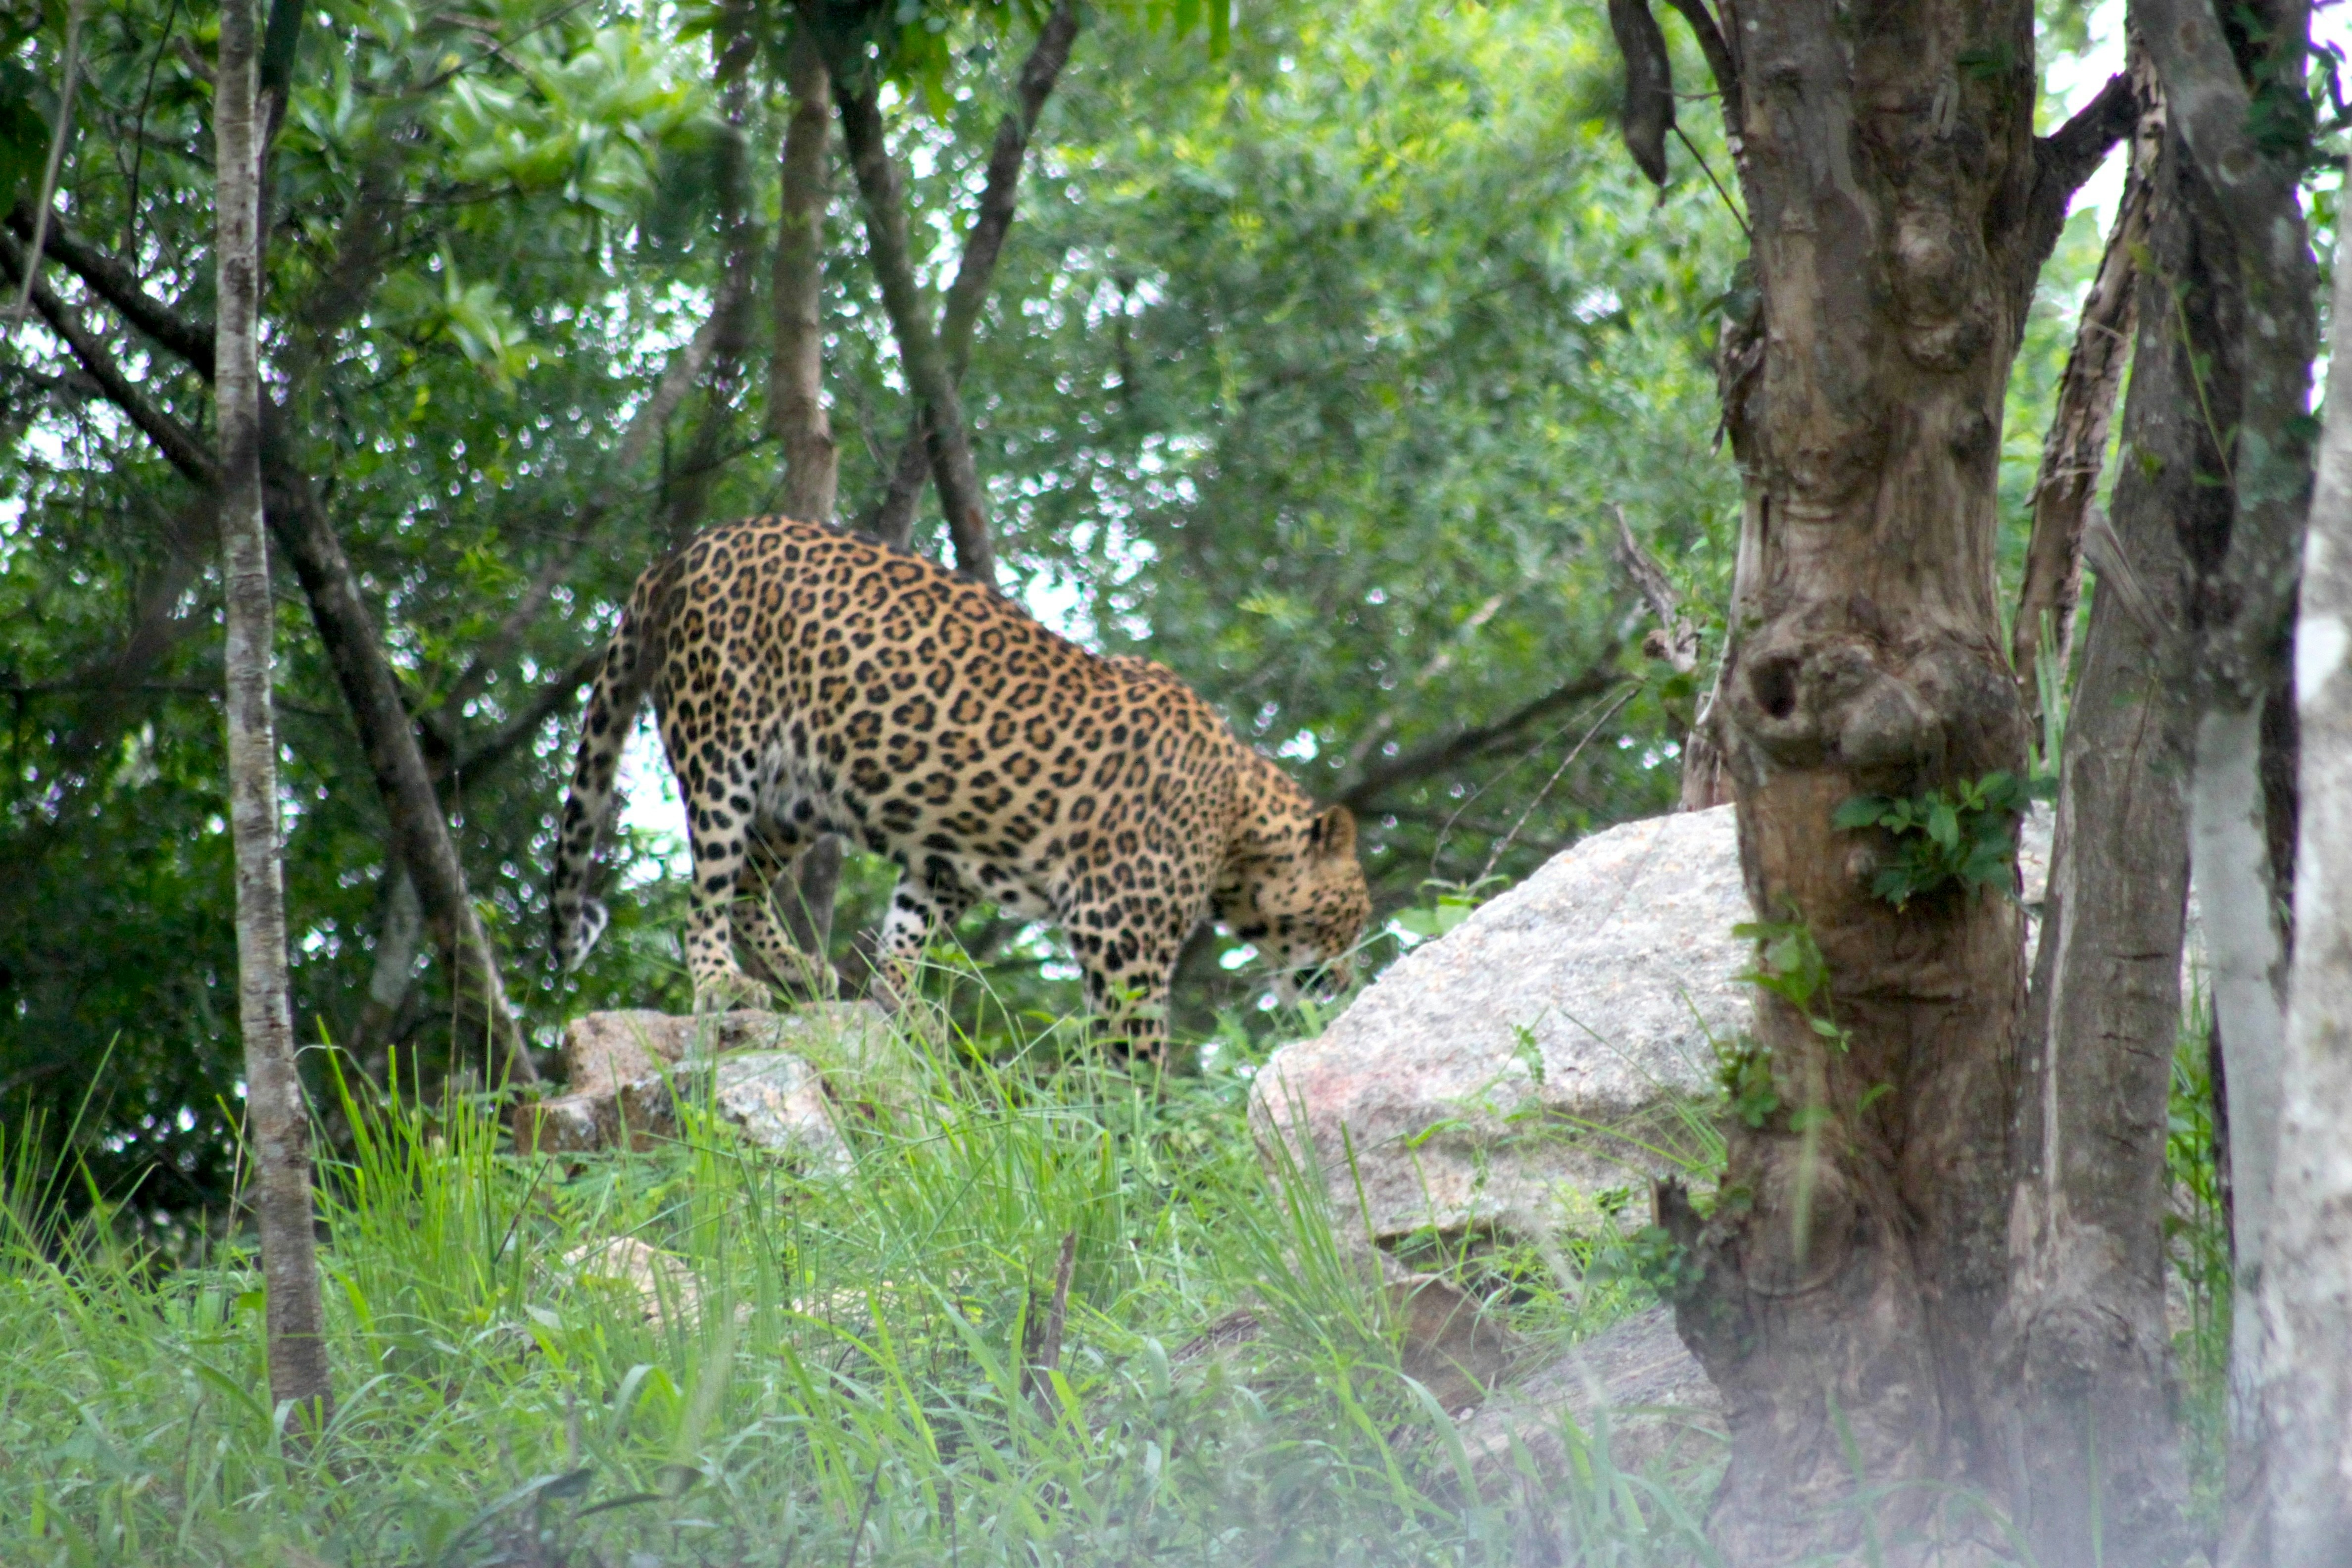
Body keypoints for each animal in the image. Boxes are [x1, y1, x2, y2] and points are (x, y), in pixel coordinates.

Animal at [549, 515, 1371, 1060]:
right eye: (1349, 920)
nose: (1346, 983)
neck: (1239, 829)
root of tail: (682, 551)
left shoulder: (947, 864)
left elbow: (904, 935)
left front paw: (903, 1003)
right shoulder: (1121, 935)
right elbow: (1135, 1054)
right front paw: (1143, 1134)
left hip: (796, 794)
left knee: (749, 886)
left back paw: (802, 972)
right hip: (722, 747)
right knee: (704, 893)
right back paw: (722, 984)